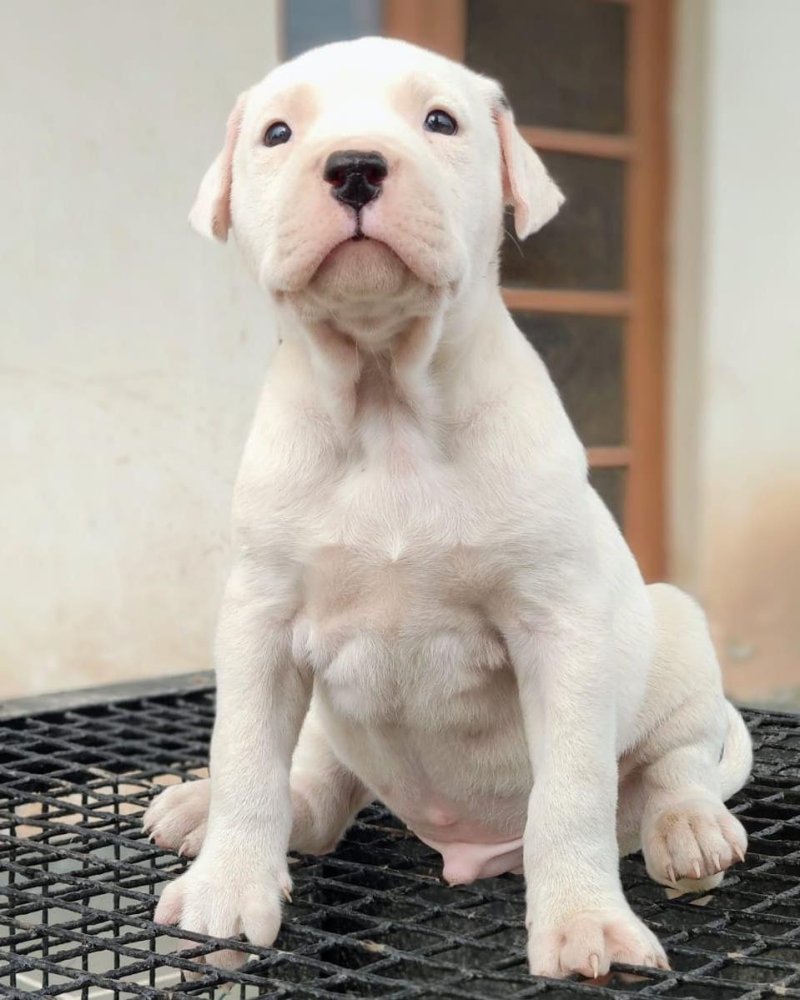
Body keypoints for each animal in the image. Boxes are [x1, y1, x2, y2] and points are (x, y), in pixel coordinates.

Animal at [145, 37, 756, 976]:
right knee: (311, 790)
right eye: (278, 132)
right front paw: (225, 889)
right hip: (332, 725)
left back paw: (688, 830)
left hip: (678, 640)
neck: (386, 403)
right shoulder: (260, 619)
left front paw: (586, 923)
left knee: (671, 766)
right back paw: (200, 808)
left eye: (441, 121)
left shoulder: (560, 628)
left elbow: (572, 789)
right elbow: (247, 754)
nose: (355, 166)